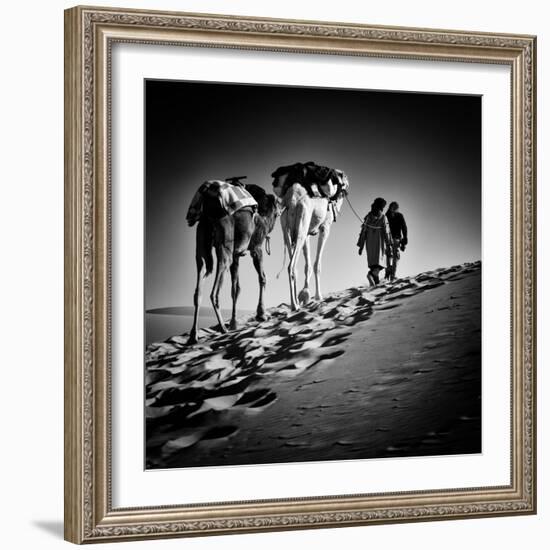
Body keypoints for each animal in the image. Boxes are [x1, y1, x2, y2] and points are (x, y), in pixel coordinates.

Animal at [188, 183, 280, 342]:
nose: (281, 210)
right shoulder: (256, 247)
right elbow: (262, 277)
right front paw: (261, 314)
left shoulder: (236, 255)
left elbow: (235, 288)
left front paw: (234, 323)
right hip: (225, 246)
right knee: (214, 292)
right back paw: (222, 328)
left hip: (201, 244)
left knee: (199, 287)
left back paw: (194, 335)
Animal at [274, 166, 352, 310]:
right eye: (343, 181)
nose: (345, 189)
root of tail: (292, 201)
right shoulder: (325, 227)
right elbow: (317, 264)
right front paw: (317, 296)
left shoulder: (308, 234)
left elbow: (308, 265)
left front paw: (305, 295)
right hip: (302, 220)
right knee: (291, 266)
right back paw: (294, 305)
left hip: (287, 226)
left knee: (294, 264)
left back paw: (296, 302)